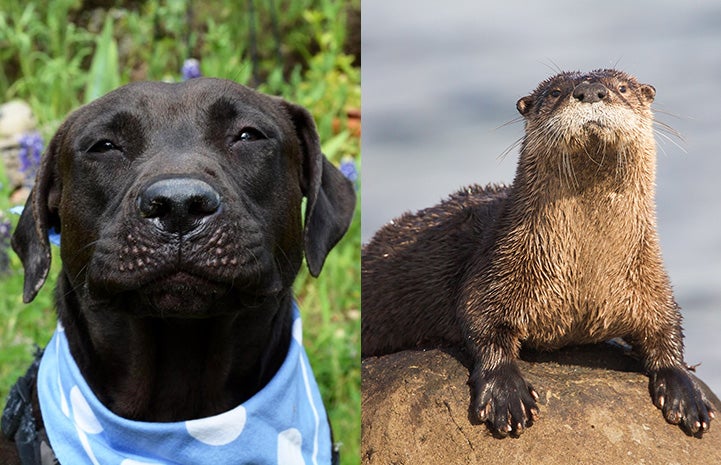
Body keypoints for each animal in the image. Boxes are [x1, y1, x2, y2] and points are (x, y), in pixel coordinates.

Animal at [360, 68, 716, 436]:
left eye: (621, 87)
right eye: (556, 92)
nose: (591, 91)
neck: (585, 276)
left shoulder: (648, 277)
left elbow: (668, 327)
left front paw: (685, 389)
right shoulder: (497, 265)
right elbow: (480, 322)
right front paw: (506, 393)